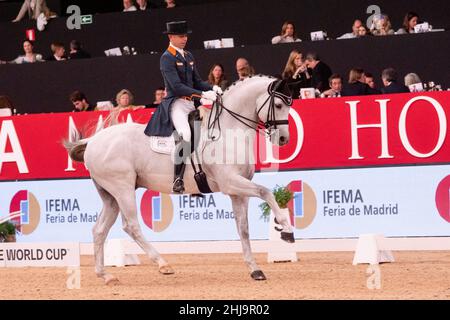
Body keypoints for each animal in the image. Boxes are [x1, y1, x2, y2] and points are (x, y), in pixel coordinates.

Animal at [64, 75, 296, 284]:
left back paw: (106, 275)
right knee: (131, 226)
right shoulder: (231, 182)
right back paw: (163, 264)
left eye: (289, 105)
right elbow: (266, 192)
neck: (229, 132)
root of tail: (93, 141)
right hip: (122, 189)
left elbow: (244, 229)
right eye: (278, 105)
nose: (283, 139)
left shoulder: (237, 192)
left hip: (110, 195)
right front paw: (285, 229)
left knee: (99, 230)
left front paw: (255, 270)